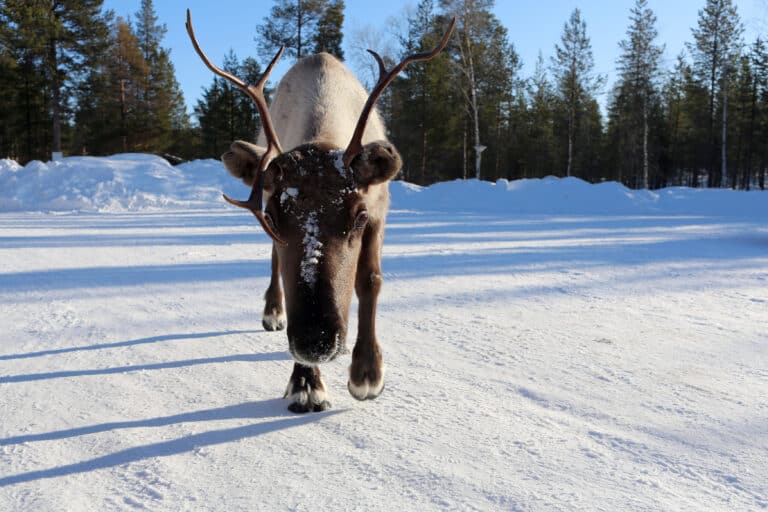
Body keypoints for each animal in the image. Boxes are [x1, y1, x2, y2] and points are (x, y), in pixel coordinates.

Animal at [186, 10, 454, 413]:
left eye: (358, 217)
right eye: (271, 217)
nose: (316, 340)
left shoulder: (379, 208)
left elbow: (370, 280)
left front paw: (366, 373)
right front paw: (305, 383)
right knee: (273, 263)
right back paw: (274, 312)